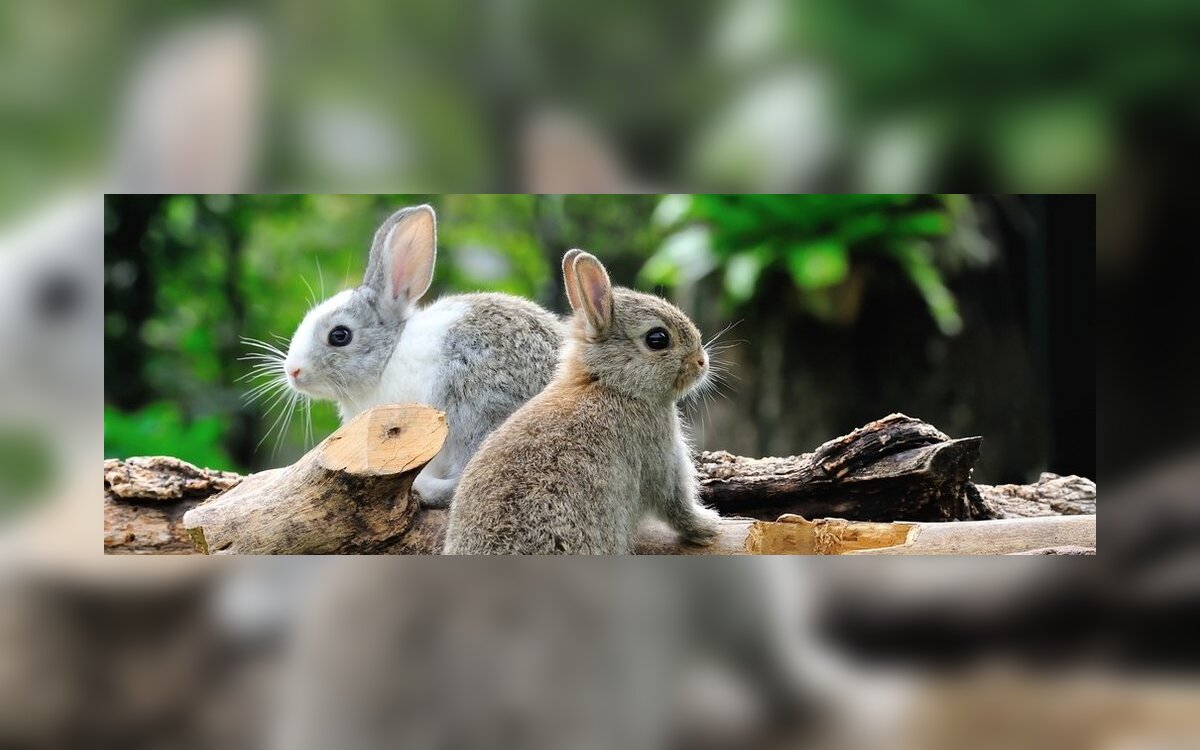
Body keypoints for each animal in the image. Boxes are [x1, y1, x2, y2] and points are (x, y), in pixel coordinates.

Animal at [444, 248, 715, 552]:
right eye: (658, 339)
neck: (611, 384)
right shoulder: (661, 457)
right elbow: (676, 504)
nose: (702, 362)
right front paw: (709, 526)